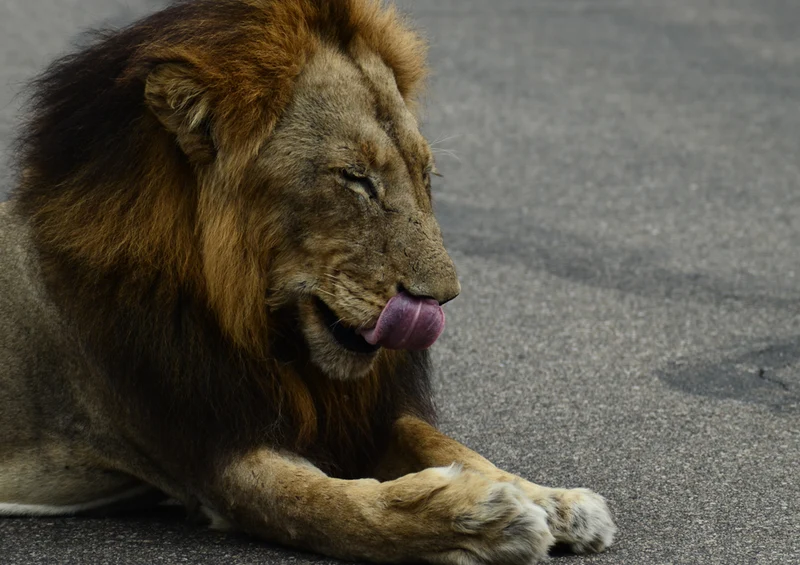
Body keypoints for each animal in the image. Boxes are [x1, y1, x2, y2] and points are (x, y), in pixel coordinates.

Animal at [0, 0, 616, 562]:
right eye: (356, 180)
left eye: (425, 174)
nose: (442, 299)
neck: (246, 316)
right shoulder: (216, 453)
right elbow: (332, 507)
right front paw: (479, 518)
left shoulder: (353, 413)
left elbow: (442, 441)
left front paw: (555, 500)